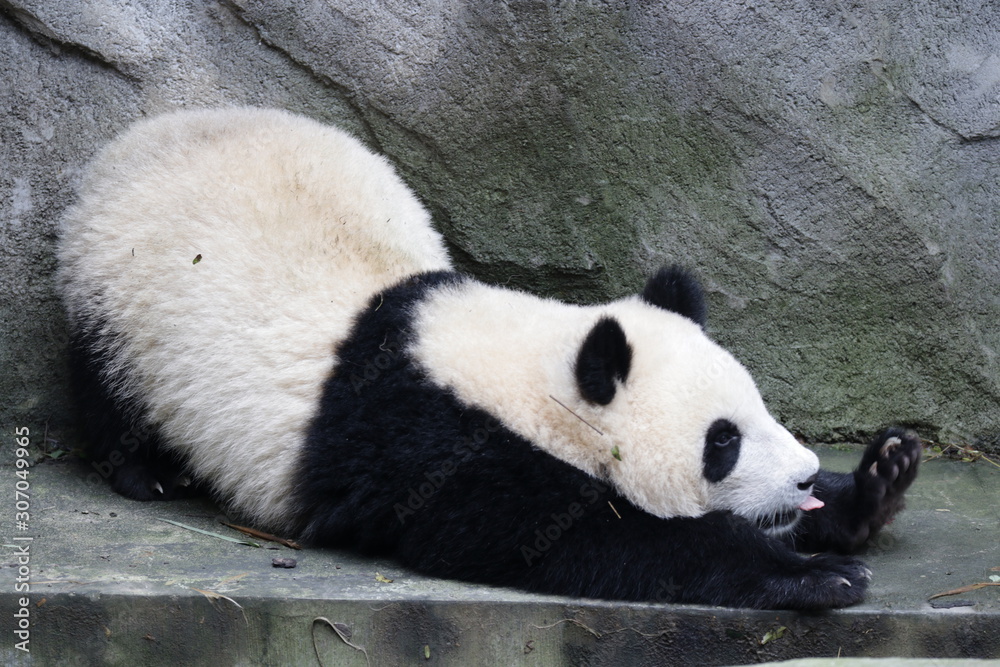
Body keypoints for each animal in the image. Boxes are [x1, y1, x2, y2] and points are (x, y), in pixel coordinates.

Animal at [57, 107, 920, 610]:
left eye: (759, 407)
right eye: (723, 440)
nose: (804, 476)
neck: (527, 371)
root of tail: (135, 135)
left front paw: (875, 481)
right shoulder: (434, 447)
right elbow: (583, 542)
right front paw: (811, 576)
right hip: (118, 294)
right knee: (108, 390)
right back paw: (148, 472)